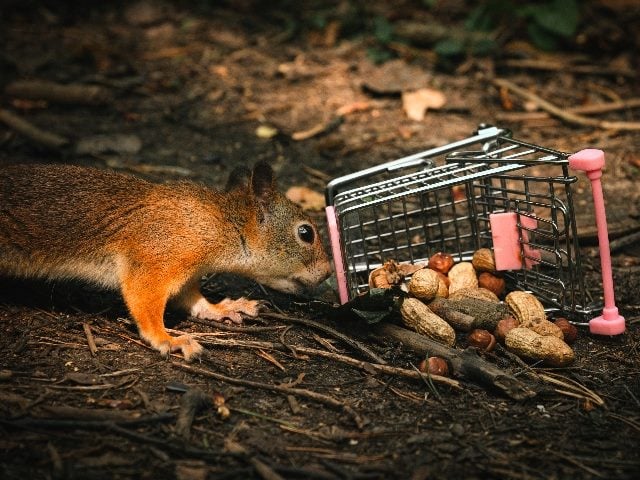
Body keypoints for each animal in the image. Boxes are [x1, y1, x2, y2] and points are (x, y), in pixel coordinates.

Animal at [0, 161, 330, 360]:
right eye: (306, 233)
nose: (328, 273)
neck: (222, 224)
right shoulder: (158, 257)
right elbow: (144, 300)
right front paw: (167, 339)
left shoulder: (187, 274)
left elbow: (193, 300)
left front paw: (222, 308)